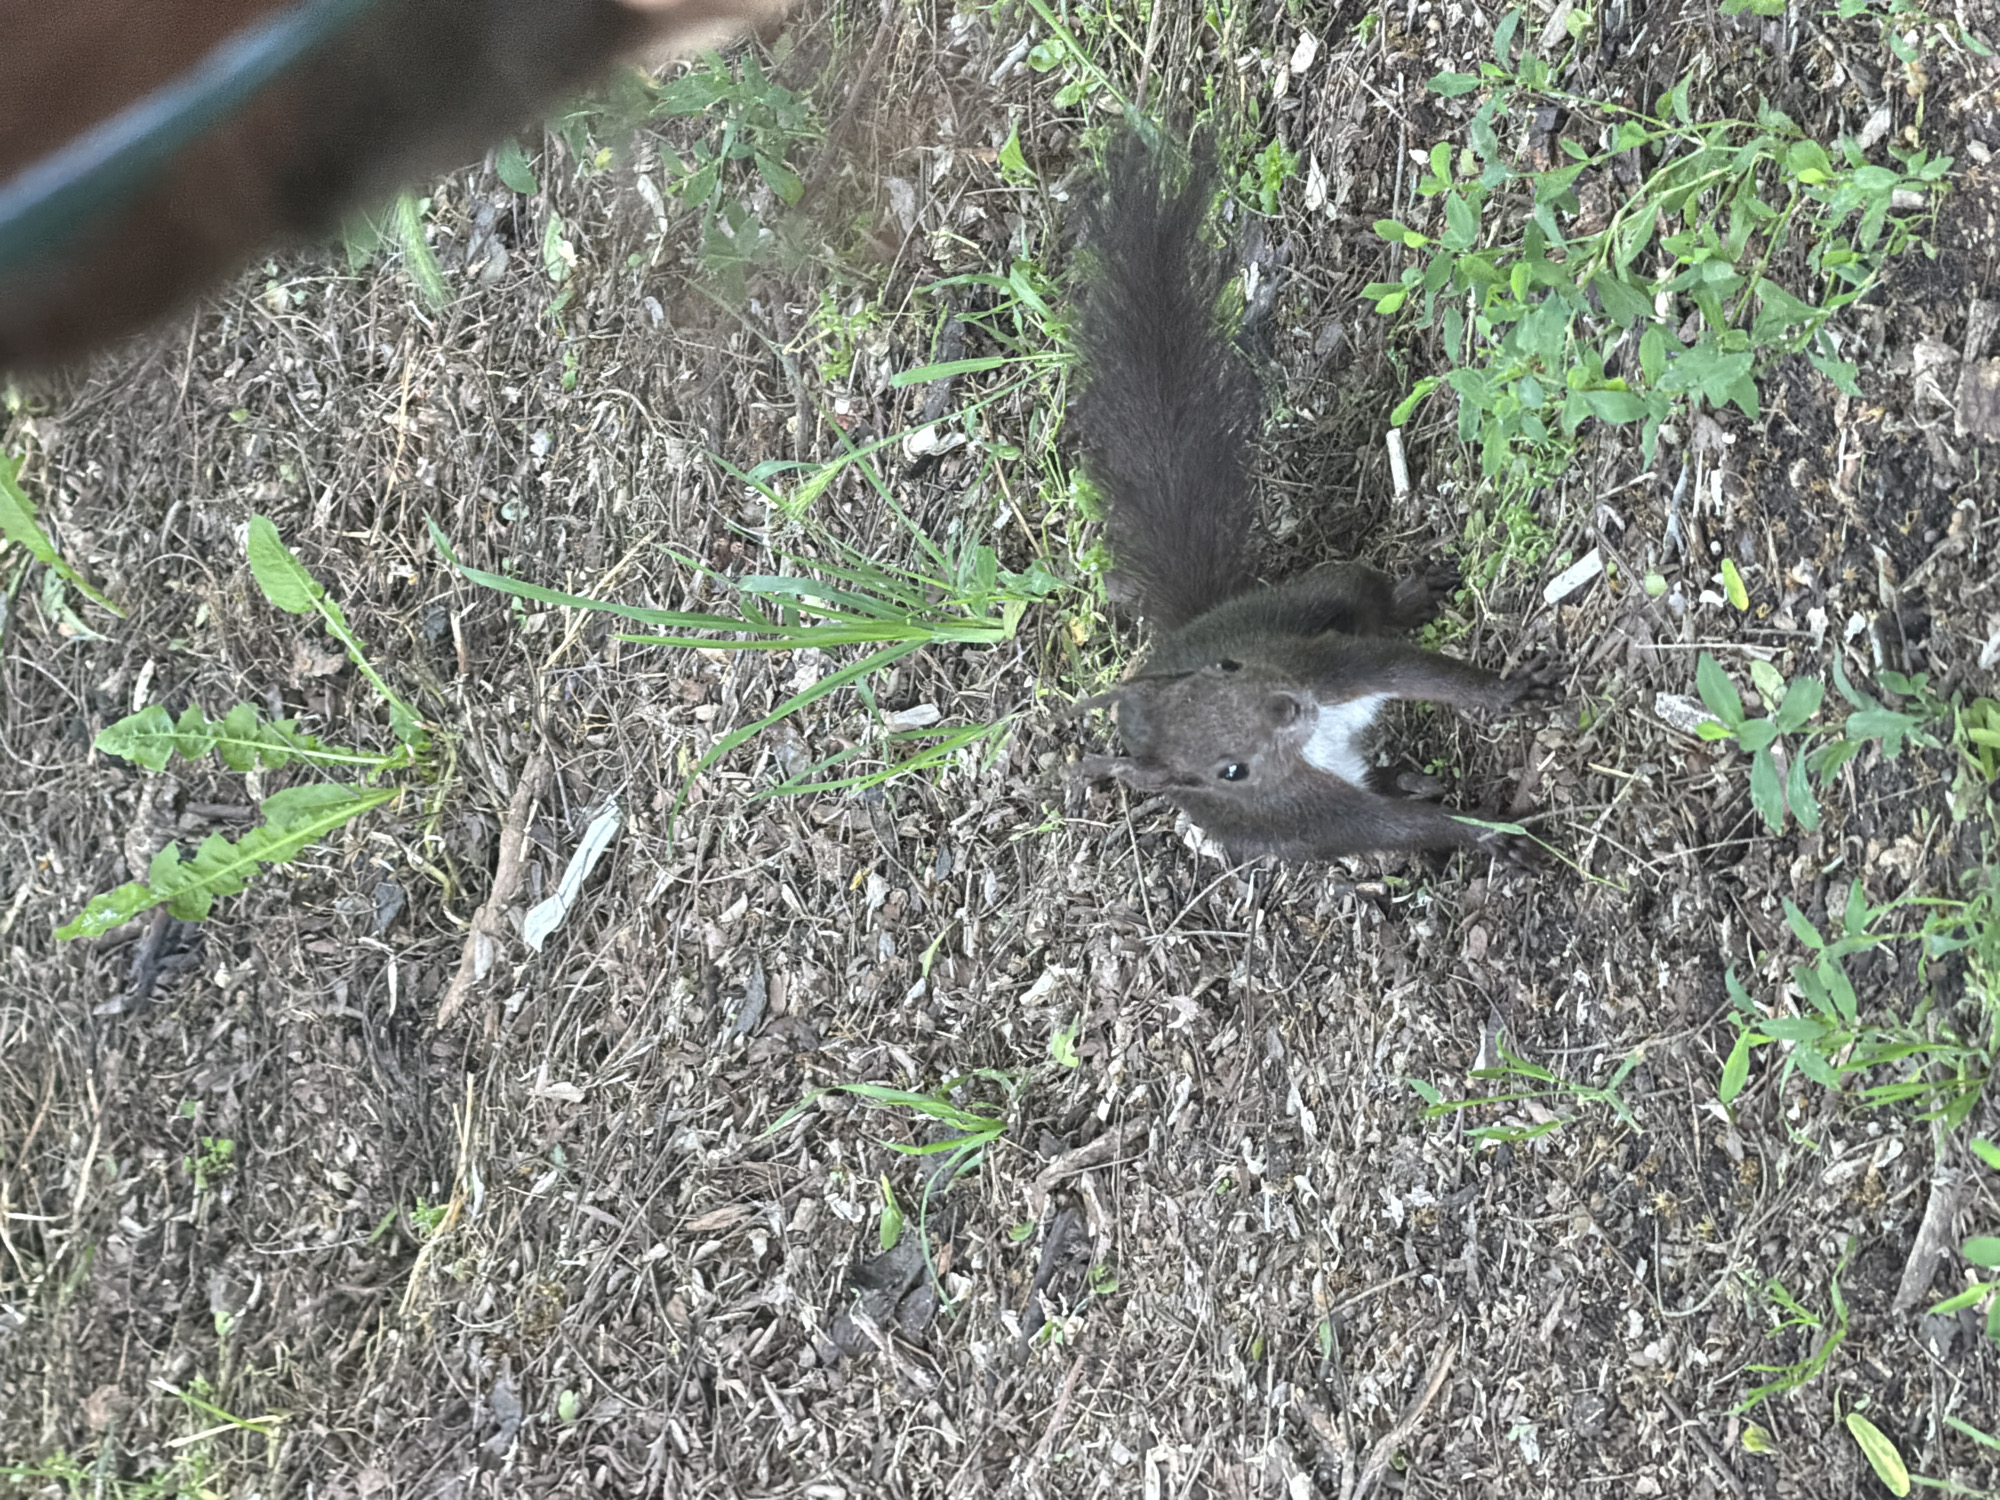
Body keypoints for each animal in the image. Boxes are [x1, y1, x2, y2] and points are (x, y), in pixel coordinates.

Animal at [1070, 130, 1559, 864]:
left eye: (1228, 666)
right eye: (1230, 772)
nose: (1286, 707)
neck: (1312, 735)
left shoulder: (1316, 664)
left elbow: (1411, 668)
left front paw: (1505, 691)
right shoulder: (1307, 810)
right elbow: (1390, 827)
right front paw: (1494, 837)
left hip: (1310, 599)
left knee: (1363, 599)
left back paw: (1410, 598)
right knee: (1385, 778)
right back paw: (1411, 777)